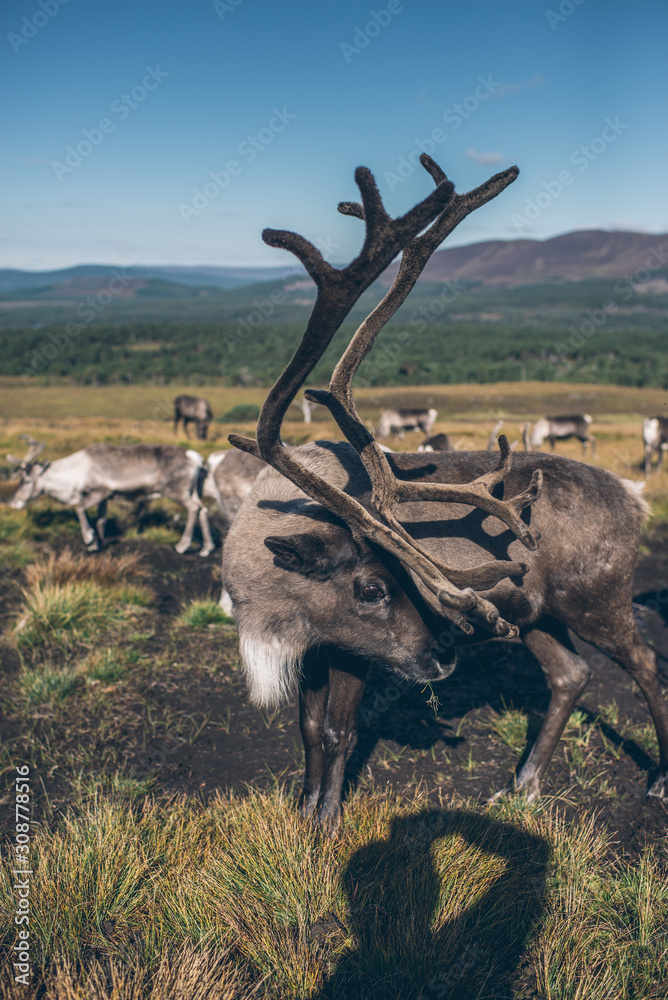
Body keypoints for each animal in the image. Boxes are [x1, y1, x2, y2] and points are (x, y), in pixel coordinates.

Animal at [6, 437, 214, 556]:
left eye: (26, 481)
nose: (13, 502)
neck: (76, 471)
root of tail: (195, 457)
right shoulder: (106, 498)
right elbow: (101, 520)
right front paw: (97, 544)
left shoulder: (101, 491)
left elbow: (79, 508)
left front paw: (89, 539)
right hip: (194, 490)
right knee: (203, 509)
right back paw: (206, 548)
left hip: (176, 491)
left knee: (194, 509)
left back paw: (182, 546)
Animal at [221, 154, 668, 834]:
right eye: (372, 588)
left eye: (400, 578)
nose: (442, 658)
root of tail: (634, 494)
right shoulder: (319, 649)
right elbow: (307, 732)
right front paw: (302, 818)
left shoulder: (355, 653)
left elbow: (338, 734)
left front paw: (326, 830)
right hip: (534, 614)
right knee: (571, 674)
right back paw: (523, 786)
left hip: (597, 601)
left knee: (645, 666)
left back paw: (659, 779)